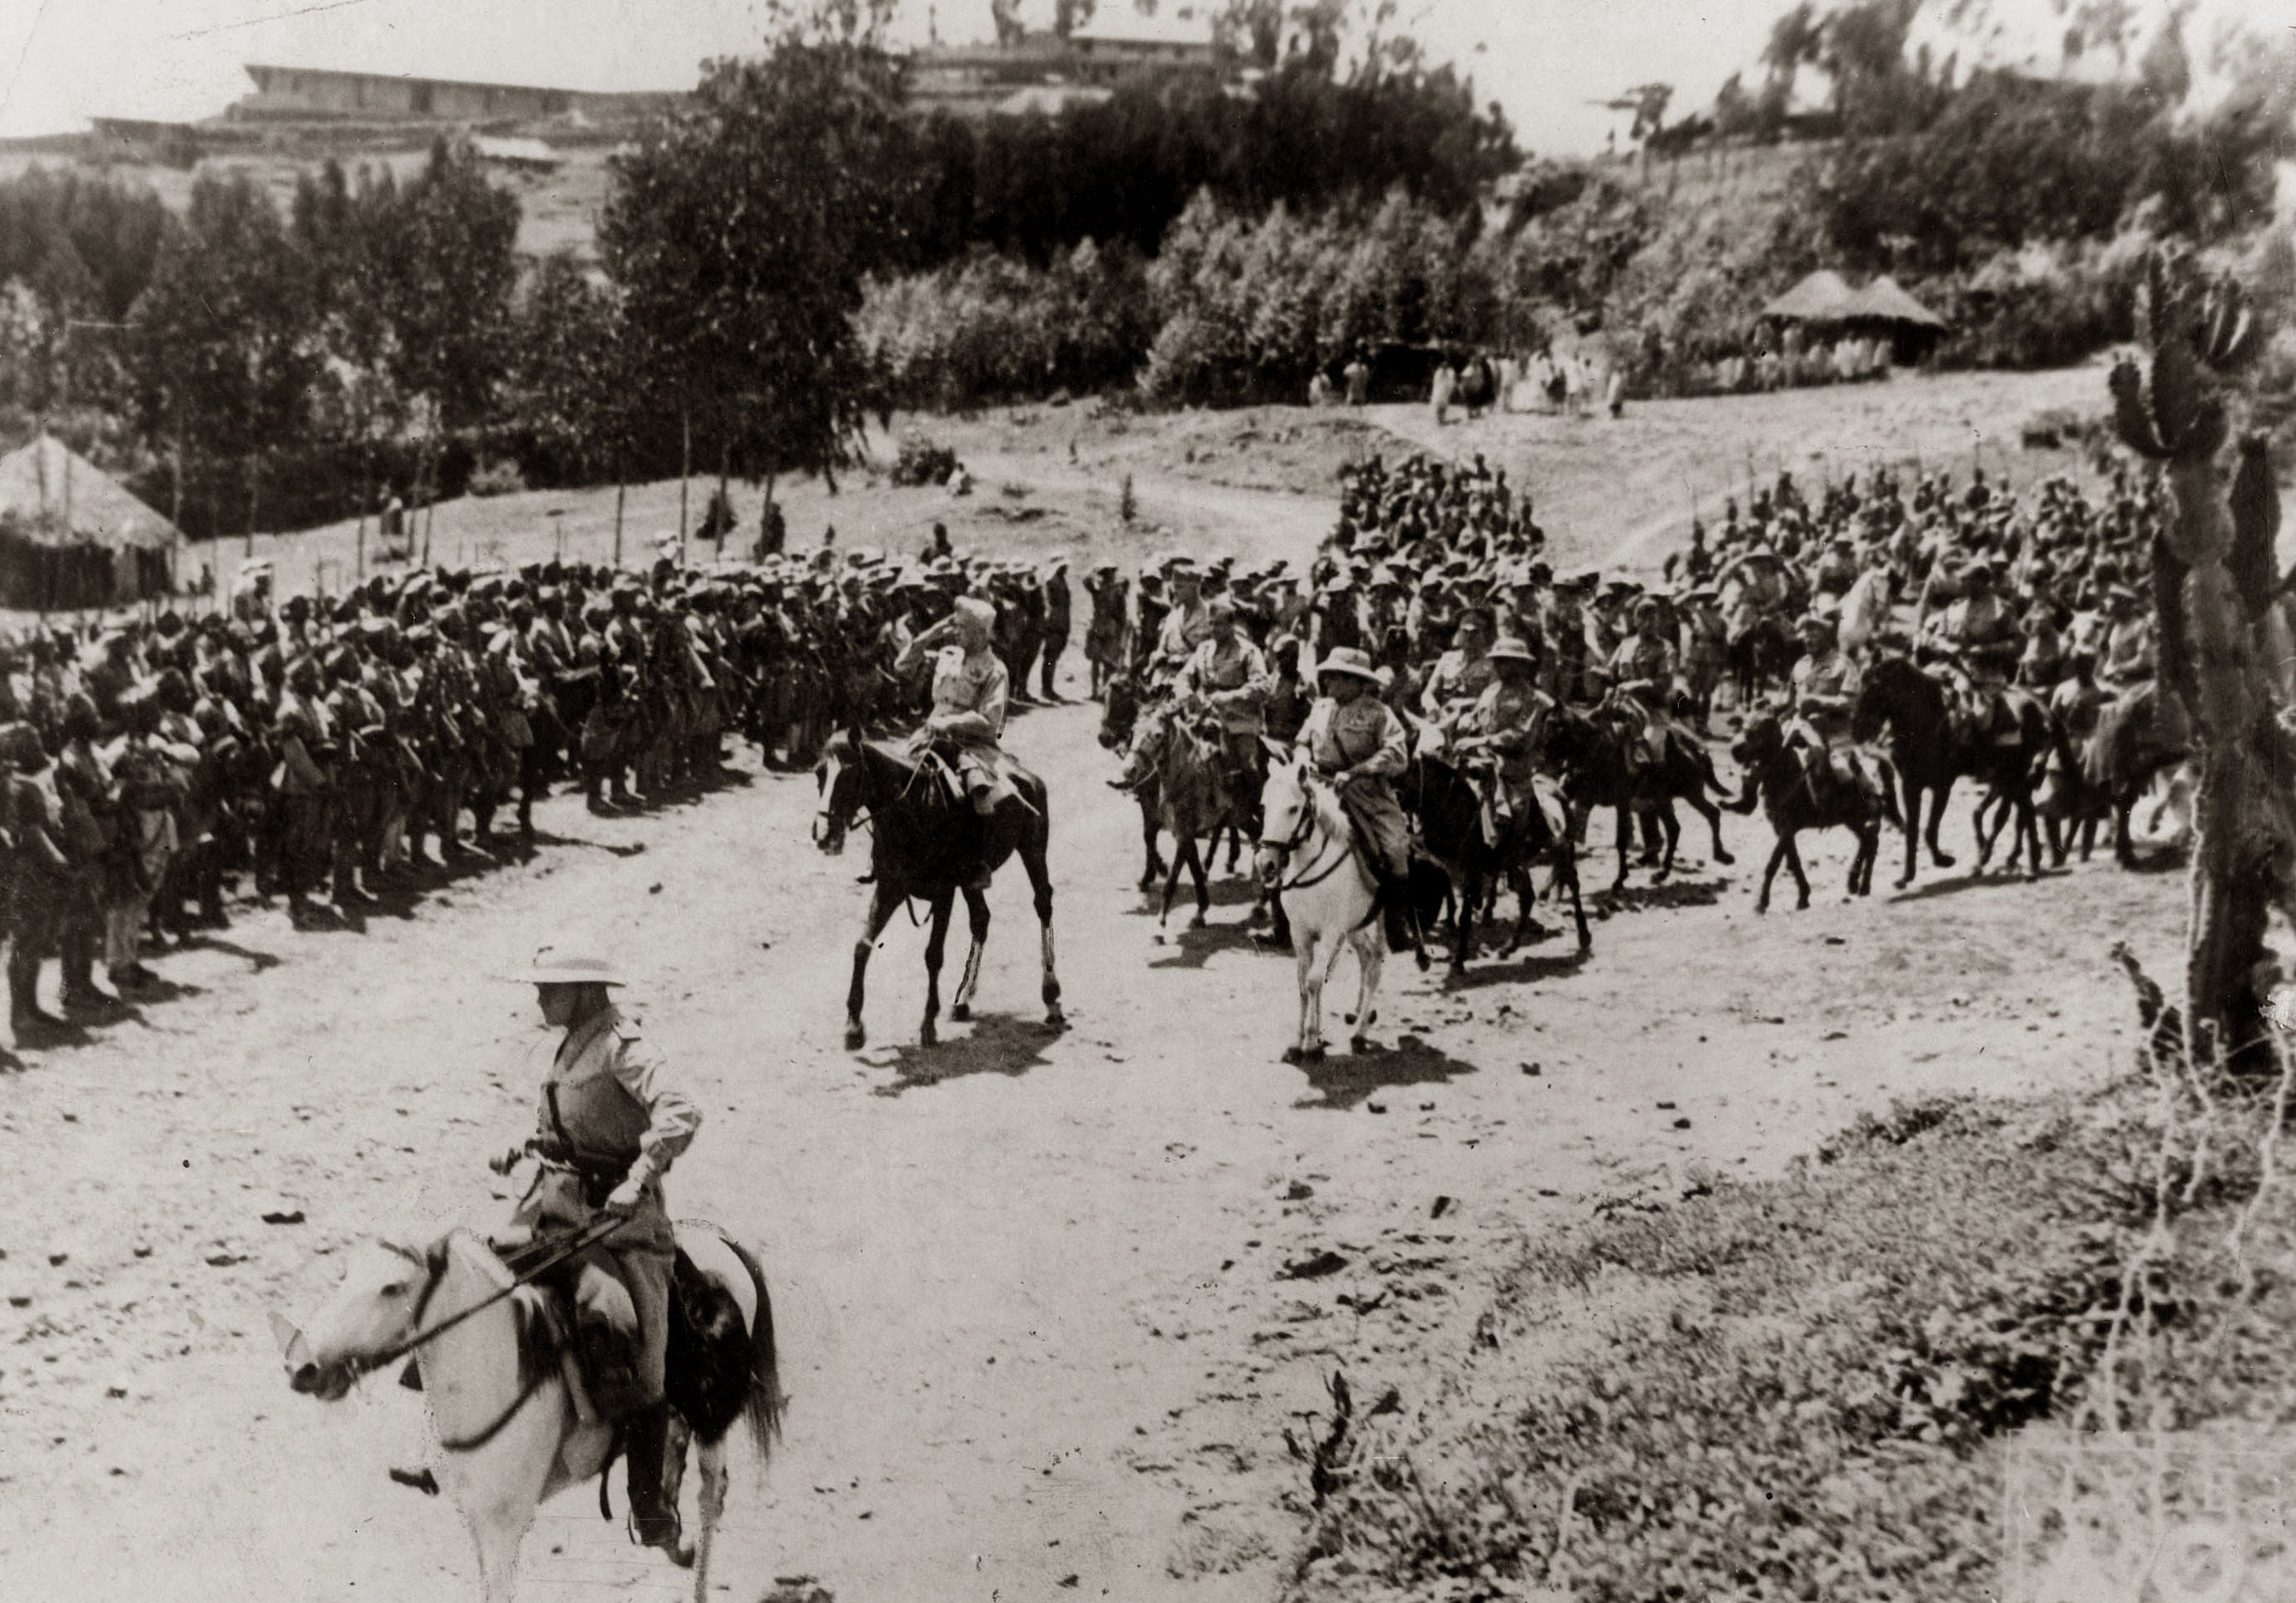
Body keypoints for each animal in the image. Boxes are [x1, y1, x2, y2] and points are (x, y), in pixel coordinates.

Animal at [274, 1221, 780, 1589]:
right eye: (344, 1274)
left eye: (393, 1288)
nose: (303, 1365)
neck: (494, 1375)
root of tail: (722, 1243)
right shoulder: (476, 1521)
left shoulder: (504, 1526)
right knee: (672, 1443)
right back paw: (668, 1530)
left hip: (712, 1417)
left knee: (711, 1497)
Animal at [812, 725, 1061, 1047]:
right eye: (819, 773)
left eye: (849, 773)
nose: (824, 835)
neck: (915, 811)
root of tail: (1025, 774)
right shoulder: (890, 887)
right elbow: (862, 946)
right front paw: (854, 1026)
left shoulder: (944, 893)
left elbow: (933, 955)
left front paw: (928, 1024)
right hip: (972, 882)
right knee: (981, 919)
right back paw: (963, 1000)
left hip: (1033, 849)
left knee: (1043, 903)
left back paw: (1052, 997)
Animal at [1258, 744, 1378, 1061]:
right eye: (1264, 806)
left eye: (1293, 808)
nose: (1266, 863)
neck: (1310, 867)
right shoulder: (1300, 931)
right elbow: (1303, 980)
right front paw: (1298, 1039)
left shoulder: (1330, 931)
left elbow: (1313, 980)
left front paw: (1311, 1042)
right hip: (1356, 925)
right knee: (1367, 957)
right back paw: (1358, 1016)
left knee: (1376, 965)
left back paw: (1361, 1031)